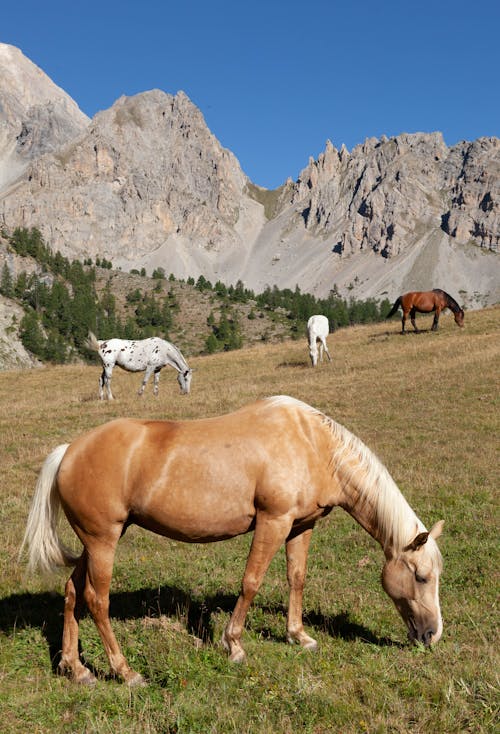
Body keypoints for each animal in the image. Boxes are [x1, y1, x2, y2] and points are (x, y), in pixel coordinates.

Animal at [18, 400, 446, 688]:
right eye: (421, 576)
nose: (431, 636)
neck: (311, 443)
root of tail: (69, 451)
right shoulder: (273, 521)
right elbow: (251, 582)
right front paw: (234, 645)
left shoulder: (300, 526)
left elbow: (296, 578)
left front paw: (298, 635)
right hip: (103, 541)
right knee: (96, 600)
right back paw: (125, 672)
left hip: (96, 542)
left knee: (72, 592)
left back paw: (76, 669)